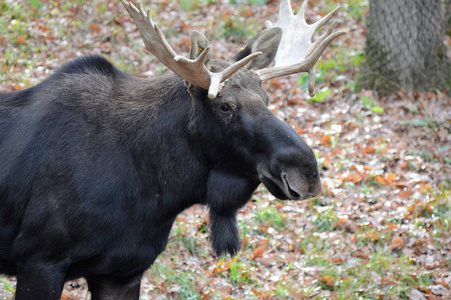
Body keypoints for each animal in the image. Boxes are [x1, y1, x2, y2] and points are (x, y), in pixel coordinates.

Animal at [0, 1, 342, 298]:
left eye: (267, 99)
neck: (157, 193)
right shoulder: (40, 260)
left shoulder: (122, 270)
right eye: (224, 106)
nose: (307, 173)